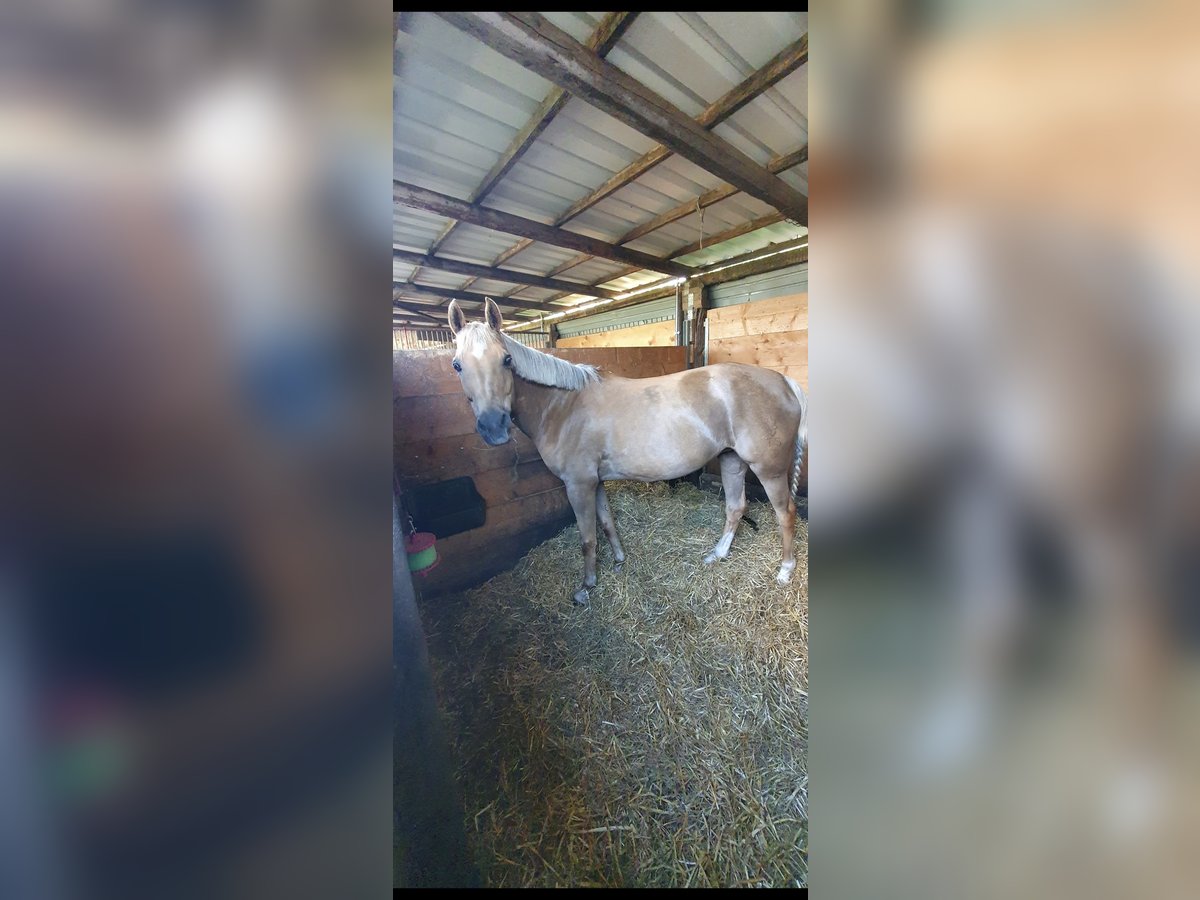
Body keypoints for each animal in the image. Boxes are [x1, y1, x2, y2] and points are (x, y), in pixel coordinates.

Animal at [446, 301, 811, 607]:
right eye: (457, 365)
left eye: (506, 359)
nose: (493, 427)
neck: (563, 406)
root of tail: (784, 382)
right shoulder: (594, 482)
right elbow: (607, 523)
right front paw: (619, 560)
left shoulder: (578, 485)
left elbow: (587, 538)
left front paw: (586, 587)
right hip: (731, 460)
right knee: (735, 507)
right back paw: (717, 555)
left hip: (768, 469)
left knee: (786, 513)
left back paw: (785, 570)